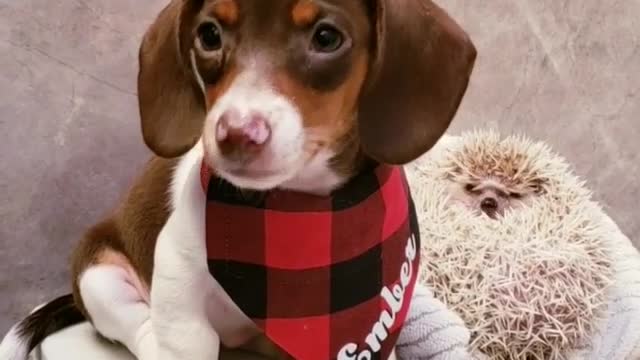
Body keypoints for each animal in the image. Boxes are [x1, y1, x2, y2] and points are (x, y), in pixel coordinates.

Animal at [0, 1, 476, 358]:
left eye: (326, 37)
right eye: (209, 35)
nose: (235, 134)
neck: (296, 208)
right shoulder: (178, 287)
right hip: (100, 276)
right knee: (141, 331)